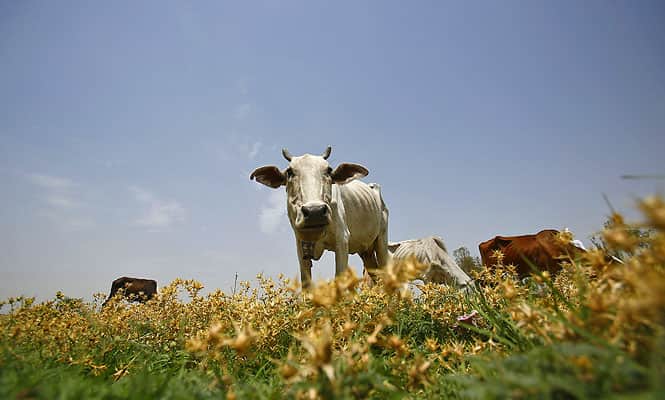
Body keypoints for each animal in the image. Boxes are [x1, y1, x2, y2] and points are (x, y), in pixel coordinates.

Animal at [250, 146, 390, 288]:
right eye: (290, 172)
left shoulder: (342, 239)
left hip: (381, 241)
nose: (314, 211)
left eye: (329, 170)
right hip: (366, 251)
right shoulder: (301, 245)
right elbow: (306, 284)